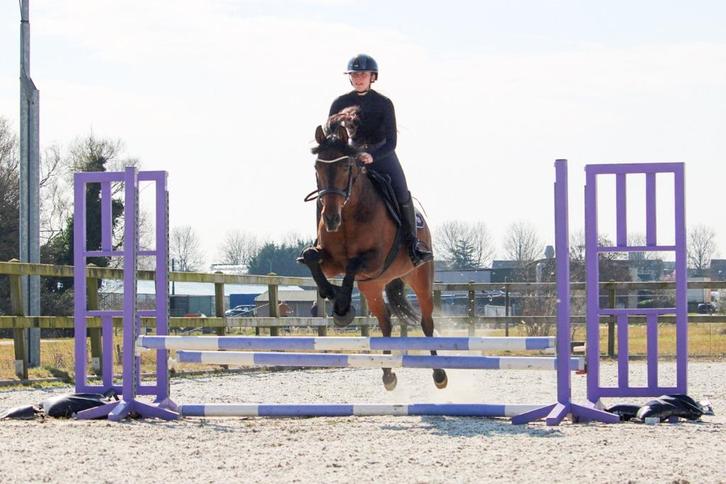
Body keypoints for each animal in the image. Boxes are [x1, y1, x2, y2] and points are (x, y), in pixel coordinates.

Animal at [298, 120, 447, 391]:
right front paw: (334, 300)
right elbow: (312, 258)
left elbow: (353, 264)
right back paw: (388, 375)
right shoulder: (331, 262)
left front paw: (342, 307)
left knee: (427, 323)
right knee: (386, 322)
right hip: (373, 287)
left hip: (419, 278)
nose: (331, 218)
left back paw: (439, 374)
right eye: (317, 167)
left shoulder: (374, 261)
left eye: (346, 166)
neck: (348, 215)